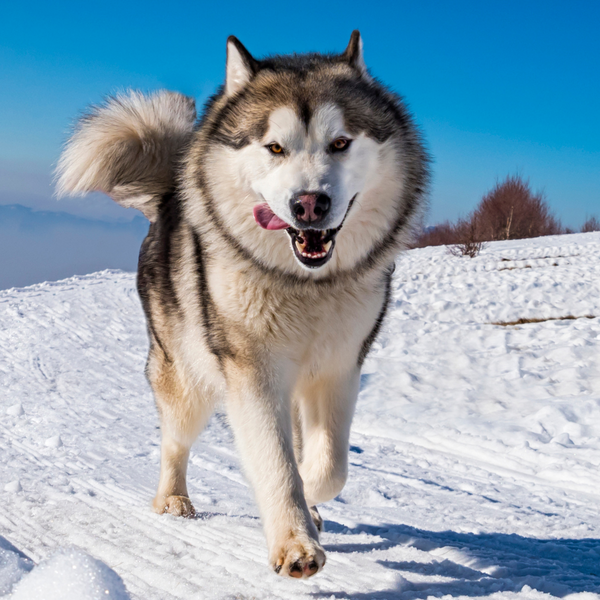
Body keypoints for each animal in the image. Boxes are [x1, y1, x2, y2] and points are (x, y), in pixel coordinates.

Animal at [57, 31, 426, 576]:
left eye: (341, 143)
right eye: (274, 147)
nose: (309, 204)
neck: (303, 284)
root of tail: (168, 196)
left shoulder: (340, 367)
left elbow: (328, 466)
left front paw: (310, 499)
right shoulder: (252, 368)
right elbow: (276, 459)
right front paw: (295, 541)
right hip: (185, 377)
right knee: (174, 440)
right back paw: (173, 500)